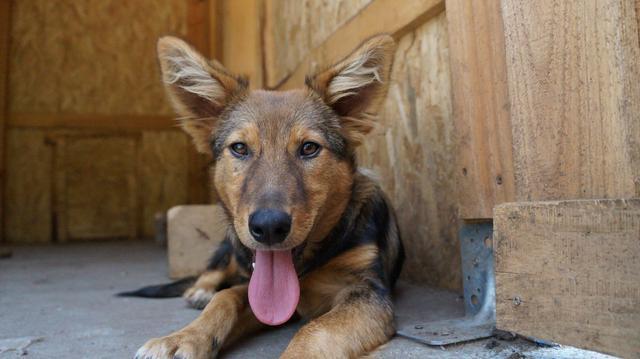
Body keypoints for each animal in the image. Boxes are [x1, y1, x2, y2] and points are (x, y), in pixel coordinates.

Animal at [127, 33, 402, 359]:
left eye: (309, 148)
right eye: (239, 148)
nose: (269, 227)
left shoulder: (367, 292)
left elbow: (315, 330)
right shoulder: (253, 283)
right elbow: (225, 299)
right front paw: (182, 337)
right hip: (232, 246)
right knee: (215, 272)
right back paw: (200, 291)